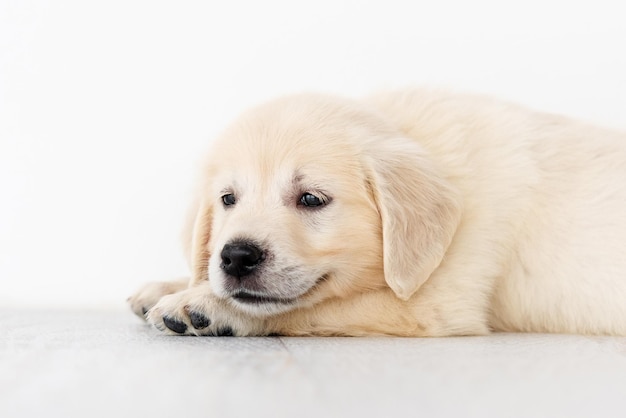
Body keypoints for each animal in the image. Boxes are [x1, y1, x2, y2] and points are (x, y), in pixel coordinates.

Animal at [127, 89, 624, 336]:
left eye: (311, 199)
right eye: (228, 199)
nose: (235, 257)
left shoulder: (434, 305)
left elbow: (311, 305)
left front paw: (204, 304)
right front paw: (167, 286)